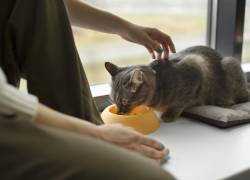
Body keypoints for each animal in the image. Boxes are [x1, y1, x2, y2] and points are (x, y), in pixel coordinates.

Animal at [104, 46, 249, 122]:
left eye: (123, 101)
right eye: (113, 100)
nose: (119, 112)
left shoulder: (195, 68)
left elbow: (180, 103)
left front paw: (169, 113)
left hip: (230, 64)